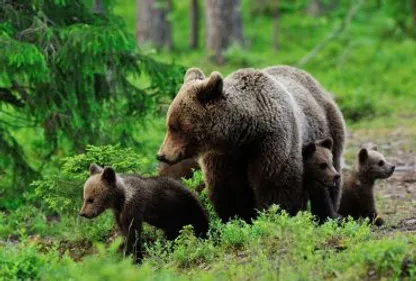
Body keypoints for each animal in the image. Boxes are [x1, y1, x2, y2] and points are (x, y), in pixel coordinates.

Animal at [156, 65, 344, 221]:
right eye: (169, 124)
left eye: (174, 127)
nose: (161, 155)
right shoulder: (225, 156)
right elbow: (229, 189)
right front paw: (238, 219)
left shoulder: (272, 143)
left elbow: (275, 185)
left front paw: (274, 216)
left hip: (328, 131)